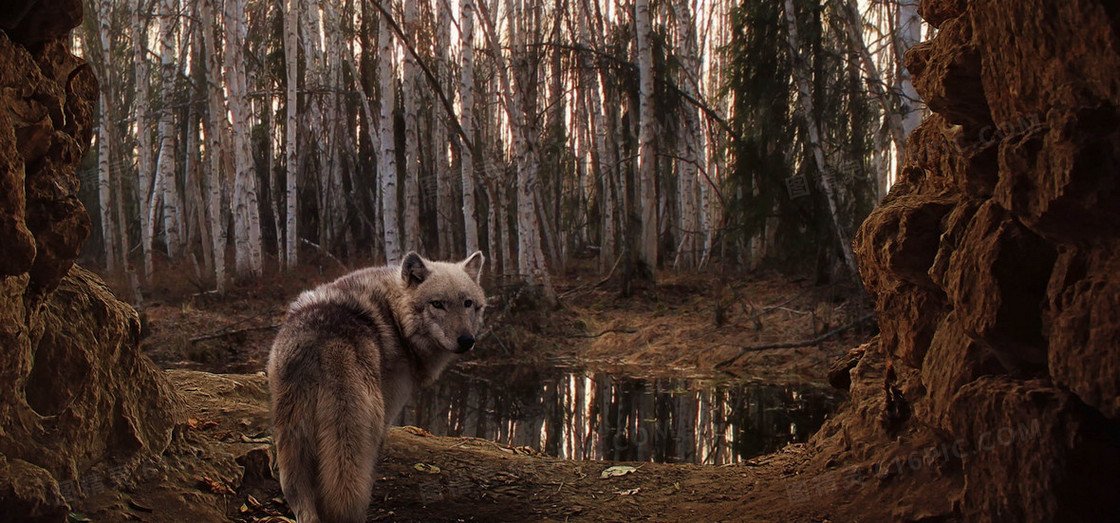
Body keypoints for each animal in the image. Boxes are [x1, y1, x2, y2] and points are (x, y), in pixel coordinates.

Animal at [268, 251, 488, 521]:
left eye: (467, 303)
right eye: (437, 304)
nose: (467, 340)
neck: (396, 318)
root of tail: (325, 342)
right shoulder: (388, 414)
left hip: (292, 444)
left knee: (303, 505)